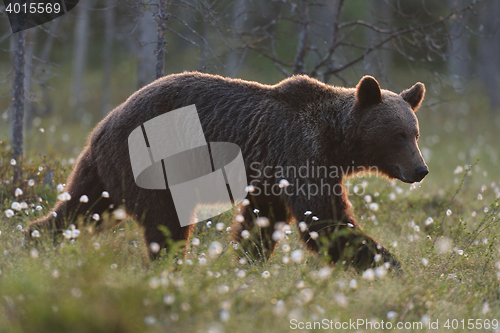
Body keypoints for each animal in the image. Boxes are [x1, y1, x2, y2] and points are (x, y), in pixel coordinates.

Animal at [27, 72, 428, 270]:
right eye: (398, 134)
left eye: (415, 132)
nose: (420, 169)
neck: (337, 141)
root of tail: (104, 122)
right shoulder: (300, 152)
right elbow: (323, 219)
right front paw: (391, 264)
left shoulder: (272, 174)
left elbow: (262, 221)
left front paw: (247, 261)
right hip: (152, 163)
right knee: (166, 221)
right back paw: (169, 266)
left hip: (104, 168)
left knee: (83, 205)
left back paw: (34, 237)